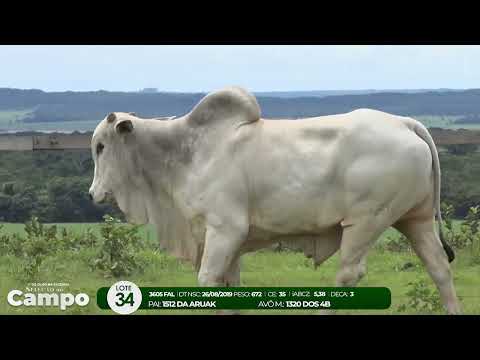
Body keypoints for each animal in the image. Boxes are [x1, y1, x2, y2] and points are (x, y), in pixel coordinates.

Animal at [89, 86, 462, 314]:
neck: (186, 152)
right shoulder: (227, 240)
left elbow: (208, 281)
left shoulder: (225, 230)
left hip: (365, 221)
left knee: (349, 274)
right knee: (438, 267)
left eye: (101, 146)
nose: (93, 194)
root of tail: (405, 123)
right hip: (414, 219)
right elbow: (229, 285)